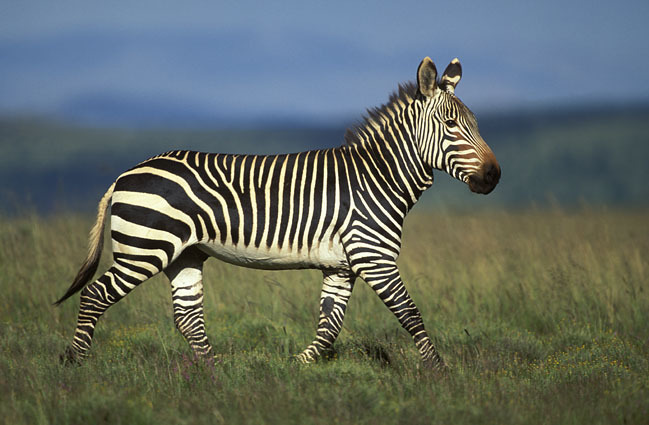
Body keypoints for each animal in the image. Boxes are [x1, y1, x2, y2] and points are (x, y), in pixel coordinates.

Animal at [55, 55, 502, 368]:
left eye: (476, 123)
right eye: (450, 125)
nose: (494, 176)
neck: (377, 177)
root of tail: (125, 174)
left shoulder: (341, 266)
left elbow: (329, 326)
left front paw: (296, 368)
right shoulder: (373, 257)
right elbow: (409, 313)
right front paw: (439, 372)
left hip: (184, 253)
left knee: (187, 314)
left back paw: (217, 372)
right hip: (144, 249)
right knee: (96, 295)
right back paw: (76, 365)